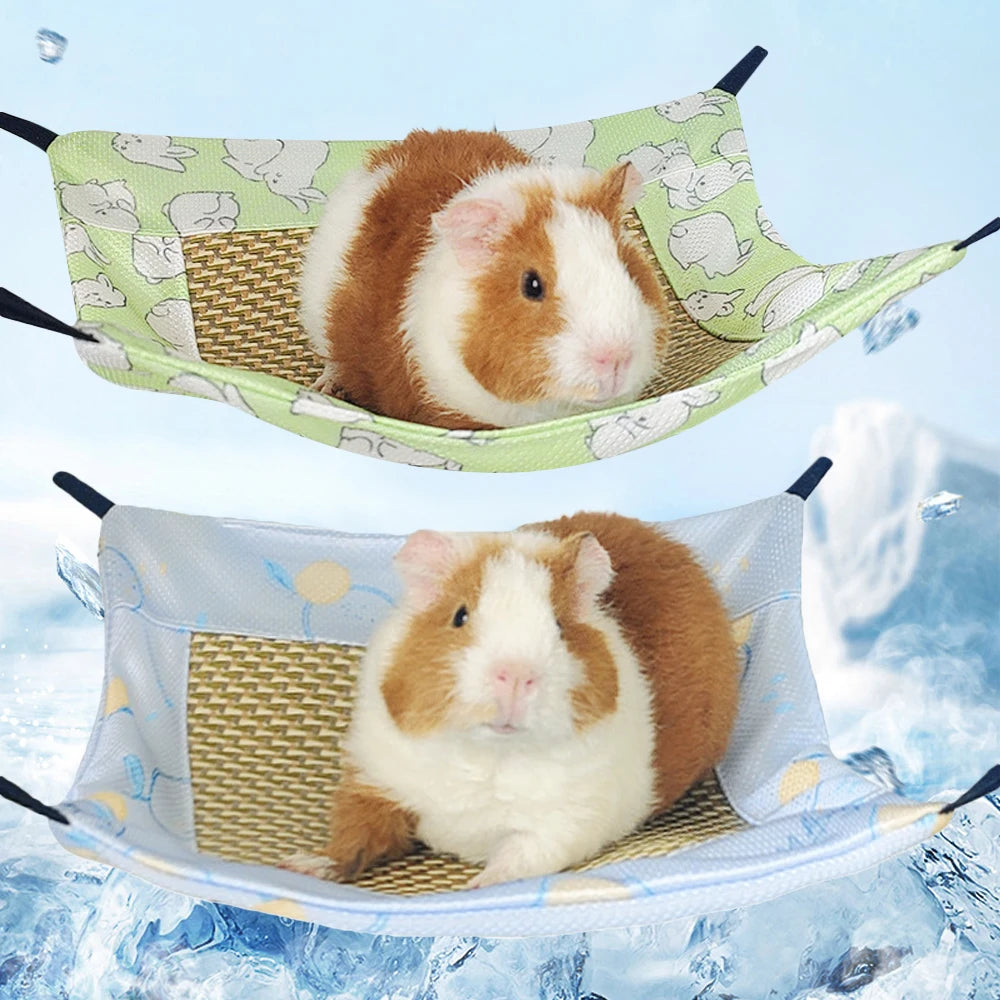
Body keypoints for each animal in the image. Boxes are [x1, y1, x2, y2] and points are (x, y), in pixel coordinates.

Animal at [280, 512, 740, 889]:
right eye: (460, 615)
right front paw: (301, 865)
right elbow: (351, 839)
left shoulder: (565, 822)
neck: (488, 754)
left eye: (559, 626)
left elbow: (520, 857)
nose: (516, 675)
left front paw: (475, 887)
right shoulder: (373, 784)